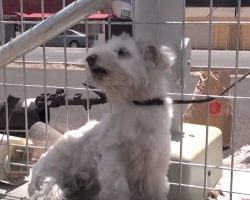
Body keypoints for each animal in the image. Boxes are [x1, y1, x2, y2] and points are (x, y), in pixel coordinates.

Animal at [27, 34, 174, 200]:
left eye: (122, 51)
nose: (90, 58)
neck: (139, 105)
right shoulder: (113, 157)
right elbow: (117, 189)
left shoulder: (155, 160)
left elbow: (155, 188)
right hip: (49, 183)